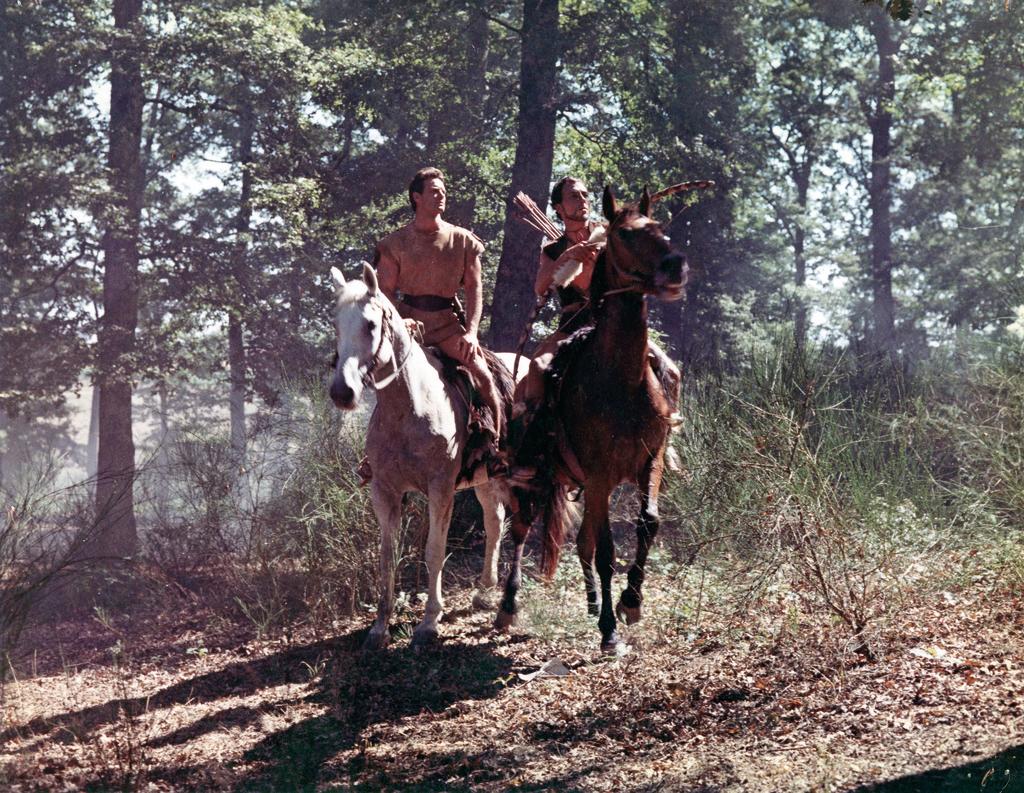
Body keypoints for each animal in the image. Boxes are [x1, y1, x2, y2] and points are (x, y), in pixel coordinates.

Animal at [329, 264, 520, 647]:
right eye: (335, 324)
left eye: (370, 324)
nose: (343, 391)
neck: (411, 406)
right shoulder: (384, 492)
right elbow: (387, 557)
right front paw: (379, 627)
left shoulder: (440, 489)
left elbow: (434, 550)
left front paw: (430, 622)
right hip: (486, 479)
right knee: (494, 521)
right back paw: (484, 591)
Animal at [497, 184, 688, 651]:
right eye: (624, 234)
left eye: (659, 227)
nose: (675, 266)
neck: (619, 382)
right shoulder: (600, 472)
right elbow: (605, 551)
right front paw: (610, 629)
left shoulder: (650, 461)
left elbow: (647, 524)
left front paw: (630, 602)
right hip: (535, 480)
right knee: (522, 530)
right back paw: (508, 607)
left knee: (581, 543)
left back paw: (590, 602)